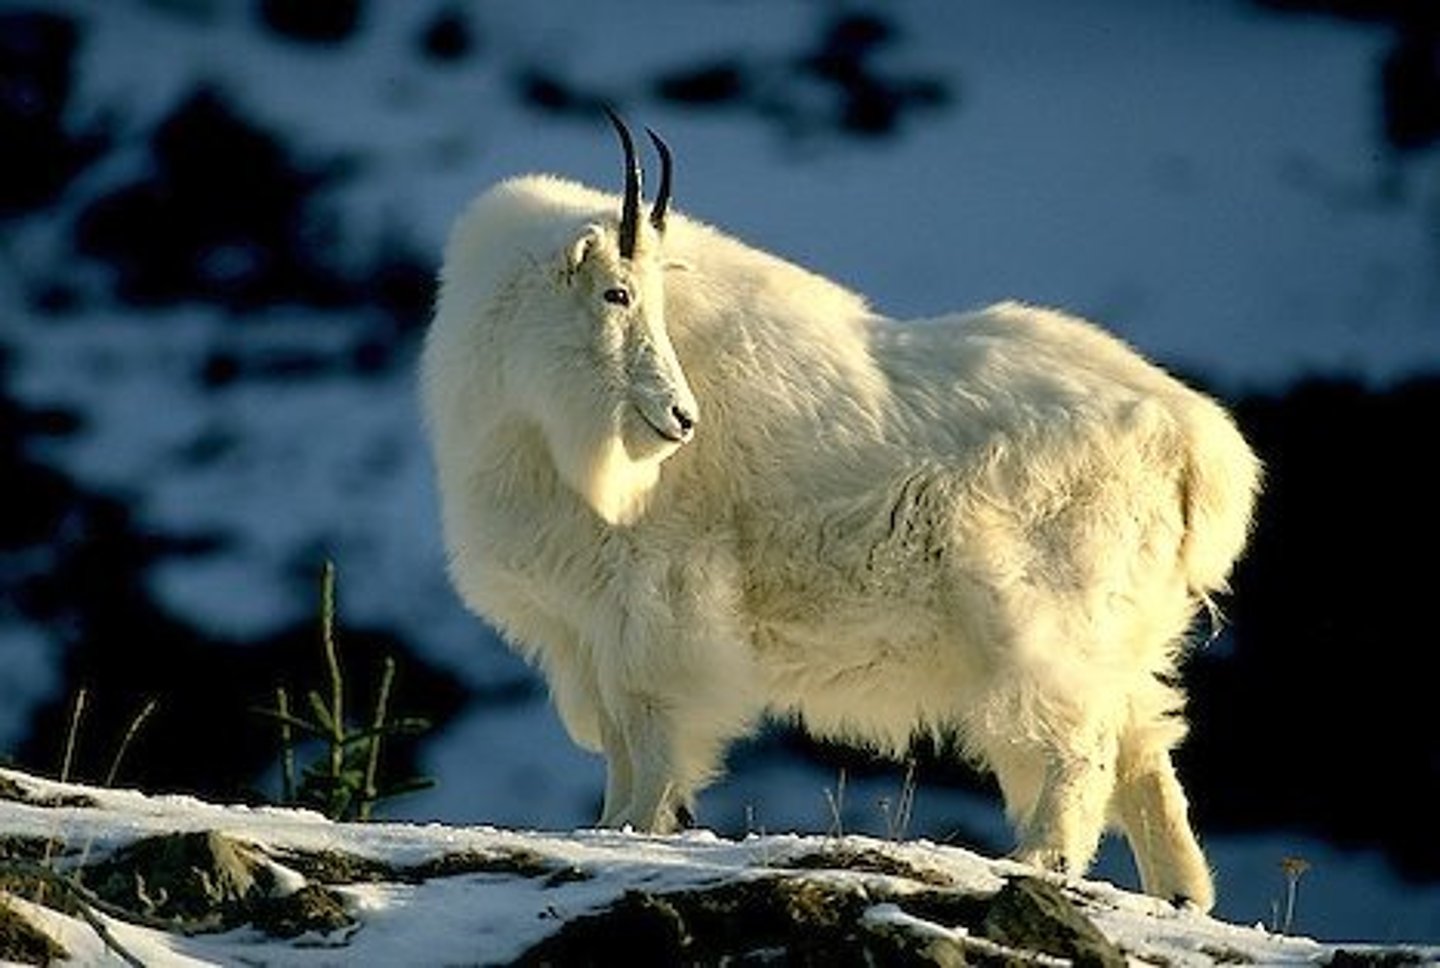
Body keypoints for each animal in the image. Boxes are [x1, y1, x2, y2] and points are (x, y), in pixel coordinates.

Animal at [420, 112, 1260, 910]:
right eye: (617, 292)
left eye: (644, 295)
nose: (680, 418)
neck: (527, 417)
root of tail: (1198, 442)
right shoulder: (585, 623)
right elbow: (619, 730)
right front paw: (610, 824)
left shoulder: (657, 601)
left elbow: (650, 720)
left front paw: (637, 824)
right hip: (1126, 625)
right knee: (1145, 742)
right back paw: (1179, 894)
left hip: (1055, 615)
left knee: (1079, 745)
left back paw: (1035, 860)